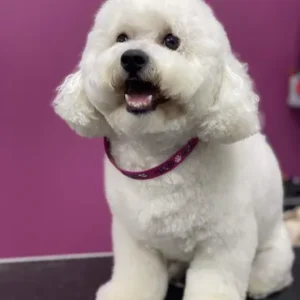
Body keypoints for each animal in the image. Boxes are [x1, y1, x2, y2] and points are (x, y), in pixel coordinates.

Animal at [52, 0, 294, 300]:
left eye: (171, 41)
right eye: (121, 39)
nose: (132, 58)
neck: (159, 156)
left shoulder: (223, 241)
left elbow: (214, 281)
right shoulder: (135, 238)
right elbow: (138, 275)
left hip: (272, 249)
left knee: (270, 270)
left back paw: (259, 283)